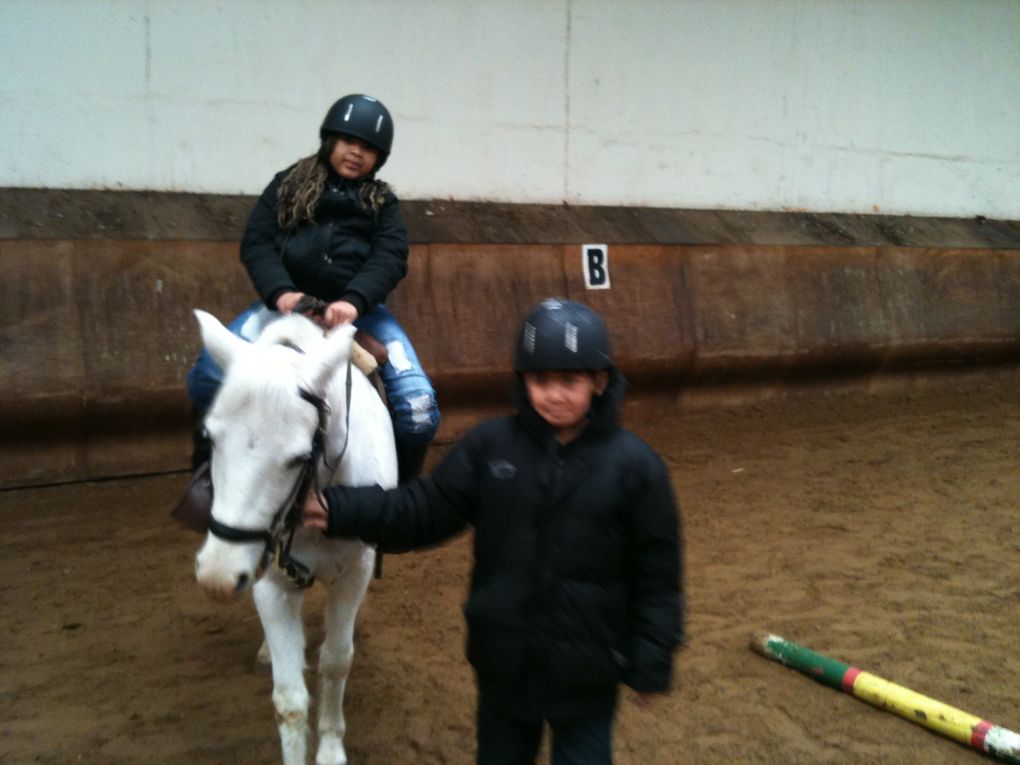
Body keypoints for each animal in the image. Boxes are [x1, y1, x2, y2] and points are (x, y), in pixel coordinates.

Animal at [192, 310, 395, 765]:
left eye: (299, 457)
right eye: (209, 438)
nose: (217, 577)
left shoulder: (353, 573)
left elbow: (336, 661)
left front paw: (332, 748)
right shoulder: (271, 579)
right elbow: (289, 700)